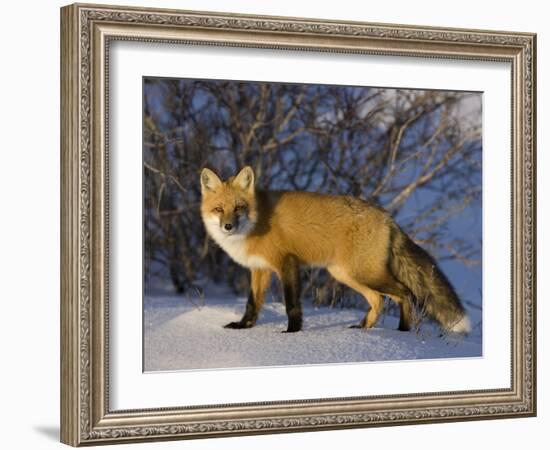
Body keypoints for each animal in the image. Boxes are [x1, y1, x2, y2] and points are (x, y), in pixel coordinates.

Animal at [201, 166, 472, 334]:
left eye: (238, 208)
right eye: (219, 209)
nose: (228, 226)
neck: (256, 222)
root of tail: (387, 217)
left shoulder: (287, 263)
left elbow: (291, 304)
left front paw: (292, 332)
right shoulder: (260, 269)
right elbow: (252, 304)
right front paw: (243, 327)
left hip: (364, 274)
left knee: (404, 293)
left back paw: (402, 332)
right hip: (346, 274)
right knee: (380, 300)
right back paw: (364, 329)